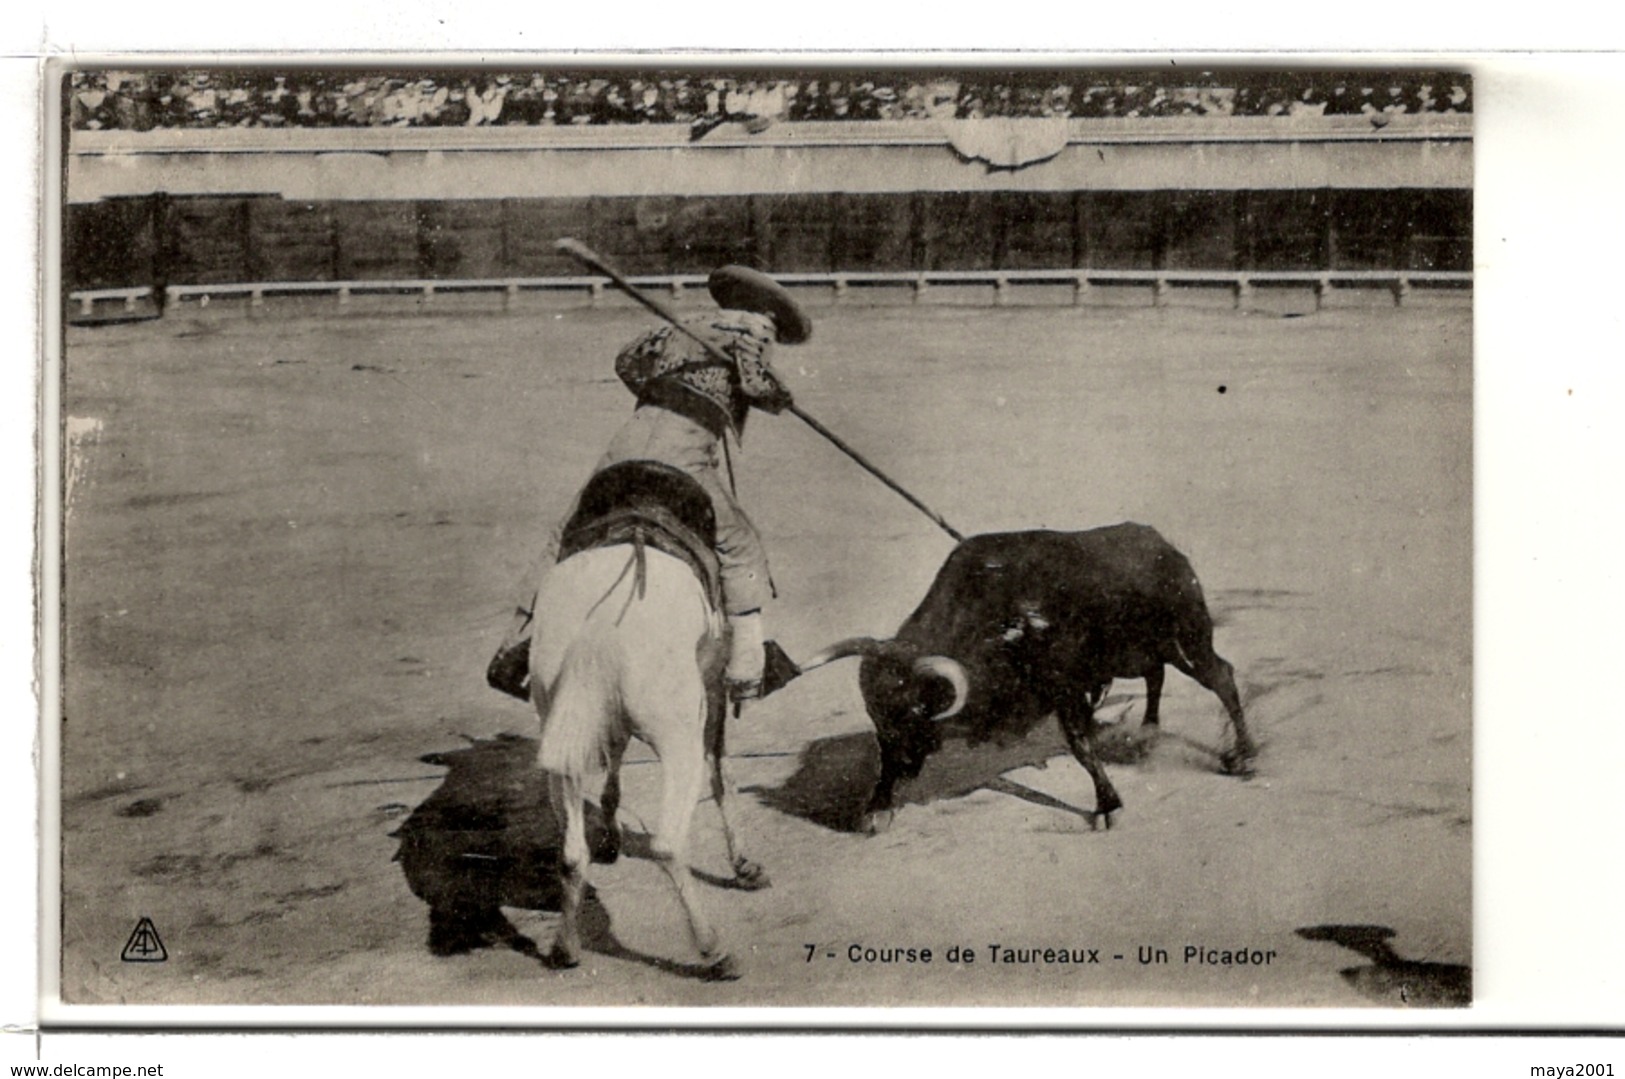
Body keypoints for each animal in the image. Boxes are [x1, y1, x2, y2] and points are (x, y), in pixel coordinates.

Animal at [529, 549, 763, 975]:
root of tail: (602, 623)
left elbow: (614, 762)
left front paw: (611, 832)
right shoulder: (714, 688)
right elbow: (724, 775)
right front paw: (744, 864)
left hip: (560, 738)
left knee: (571, 855)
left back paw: (565, 947)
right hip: (680, 742)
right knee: (667, 845)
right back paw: (714, 950)